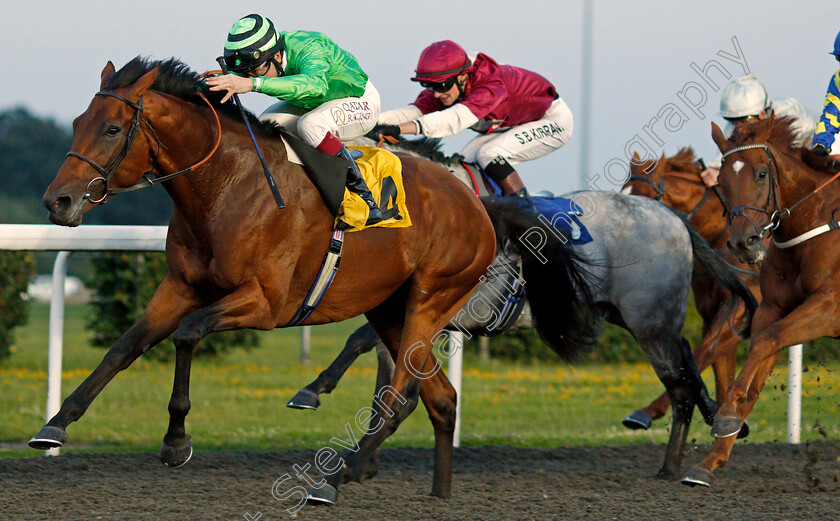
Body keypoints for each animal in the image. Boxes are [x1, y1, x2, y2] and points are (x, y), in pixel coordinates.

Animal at [31, 55, 596, 500]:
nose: (57, 201)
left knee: (400, 395)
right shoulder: (181, 286)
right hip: (390, 308)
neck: (226, 185)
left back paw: (335, 478)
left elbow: (189, 334)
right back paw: (438, 493)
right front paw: (55, 426)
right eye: (78, 121)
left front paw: (176, 441)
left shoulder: (266, 302)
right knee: (439, 399)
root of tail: (480, 206)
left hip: (431, 300)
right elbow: (124, 347)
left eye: (111, 129)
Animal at [616, 148, 760, 432]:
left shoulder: (739, 307)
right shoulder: (711, 313)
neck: (719, 237)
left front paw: (648, 411)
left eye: (643, 203)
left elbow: (704, 350)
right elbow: (718, 364)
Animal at [684, 112, 840, 484]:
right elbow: (759, 363)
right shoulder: (772, 307)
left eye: (761, 173)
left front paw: (725, 415)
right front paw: (712, 458)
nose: (744, 243)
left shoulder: (830, 308)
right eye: (721, 180)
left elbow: (768, 339)